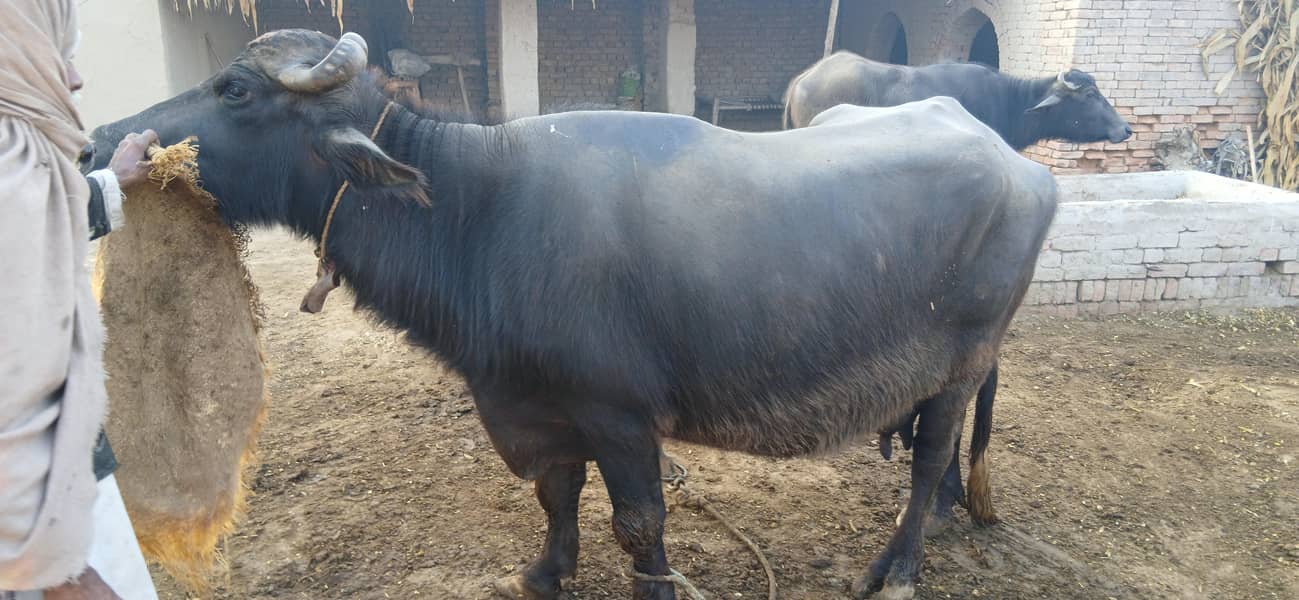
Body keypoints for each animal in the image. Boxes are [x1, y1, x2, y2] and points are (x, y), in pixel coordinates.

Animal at [90, 30, 1056, 600]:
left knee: (927, 461)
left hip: (962, 361)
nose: (106, 138)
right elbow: (555, 497)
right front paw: (546, 572)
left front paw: (653, 589)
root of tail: (1019, 164)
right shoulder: (531, 407)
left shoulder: (620, 418)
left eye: (234, 89)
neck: (482, 212)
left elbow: (639, 525)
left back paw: (897, 565)